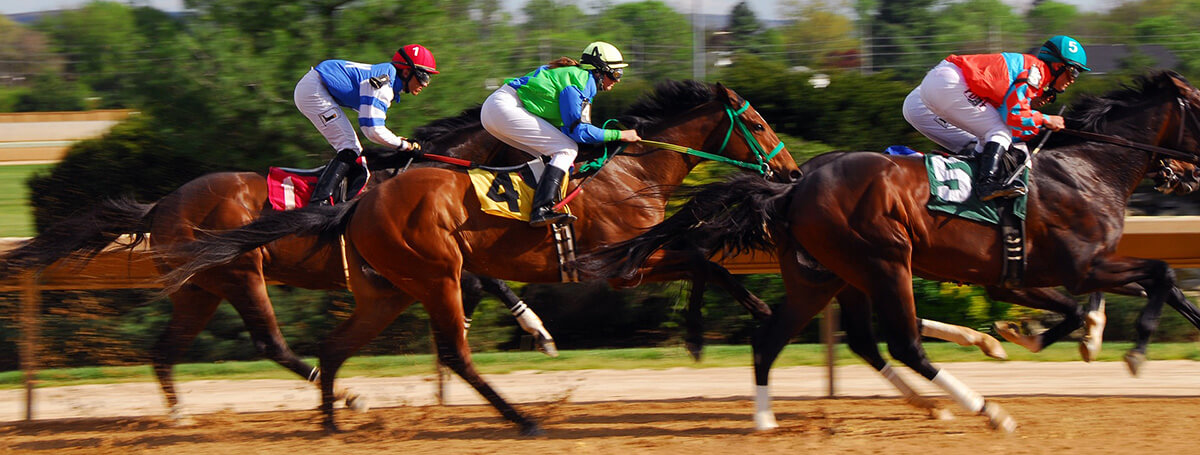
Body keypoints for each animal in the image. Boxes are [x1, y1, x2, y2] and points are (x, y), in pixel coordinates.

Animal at [154, 82, 801, 434]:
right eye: (759, 122)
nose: (792, 173)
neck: (633, 172)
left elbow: (703, 258)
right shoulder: (624, 266)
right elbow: (701, 260)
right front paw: (715, 328)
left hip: (368, 290)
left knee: (323, 348)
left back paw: (332, 417)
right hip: (392, 274)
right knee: (447, 354)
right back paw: (523, 420)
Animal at [588, 71, 1200, 432]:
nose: (1186, 176)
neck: (1087, 168)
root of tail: (791, 188)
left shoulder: (1028, 273)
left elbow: (1124, 293)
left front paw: (1028, 335)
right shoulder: (1079, 264)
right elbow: (1160, 273)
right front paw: (1132, 351)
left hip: (827, 277)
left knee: (784, 338)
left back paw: (769, 422)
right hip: (882, 260)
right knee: (902, 342)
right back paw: (984, 410)